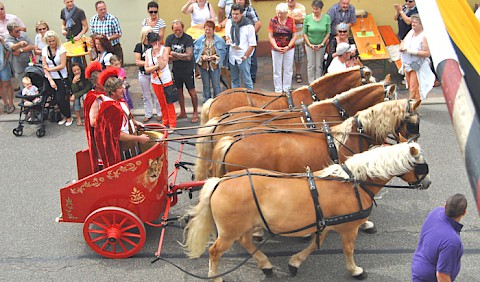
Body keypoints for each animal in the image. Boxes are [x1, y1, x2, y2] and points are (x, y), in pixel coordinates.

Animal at [183, 142, 432, 280]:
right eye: (421, 164)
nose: (428, 183)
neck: (352, 183)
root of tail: (220, 181)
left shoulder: (326, 223)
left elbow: (313, 245)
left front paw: (295, 263)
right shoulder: (348, 229)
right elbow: (348, 250)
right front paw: (355, 270)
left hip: (243, 225)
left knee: (246, 242)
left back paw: (266, 265)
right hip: (230, 230)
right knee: (216, 251)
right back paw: (216, 277)